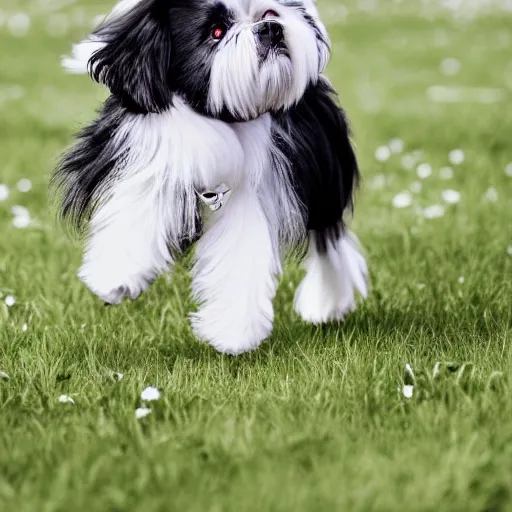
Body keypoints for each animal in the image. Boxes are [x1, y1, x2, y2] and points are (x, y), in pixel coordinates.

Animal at [54, 0, 368, 354]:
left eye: (268, 13)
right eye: (216, 32)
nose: (270, 29)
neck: (220, 116)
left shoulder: (251, 194)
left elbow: (239, 251)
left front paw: (233, 334)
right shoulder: (149, 156)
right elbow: (138, 207)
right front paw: (116, 279)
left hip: (326, 185)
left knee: (329, 241)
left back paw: (327, 305)